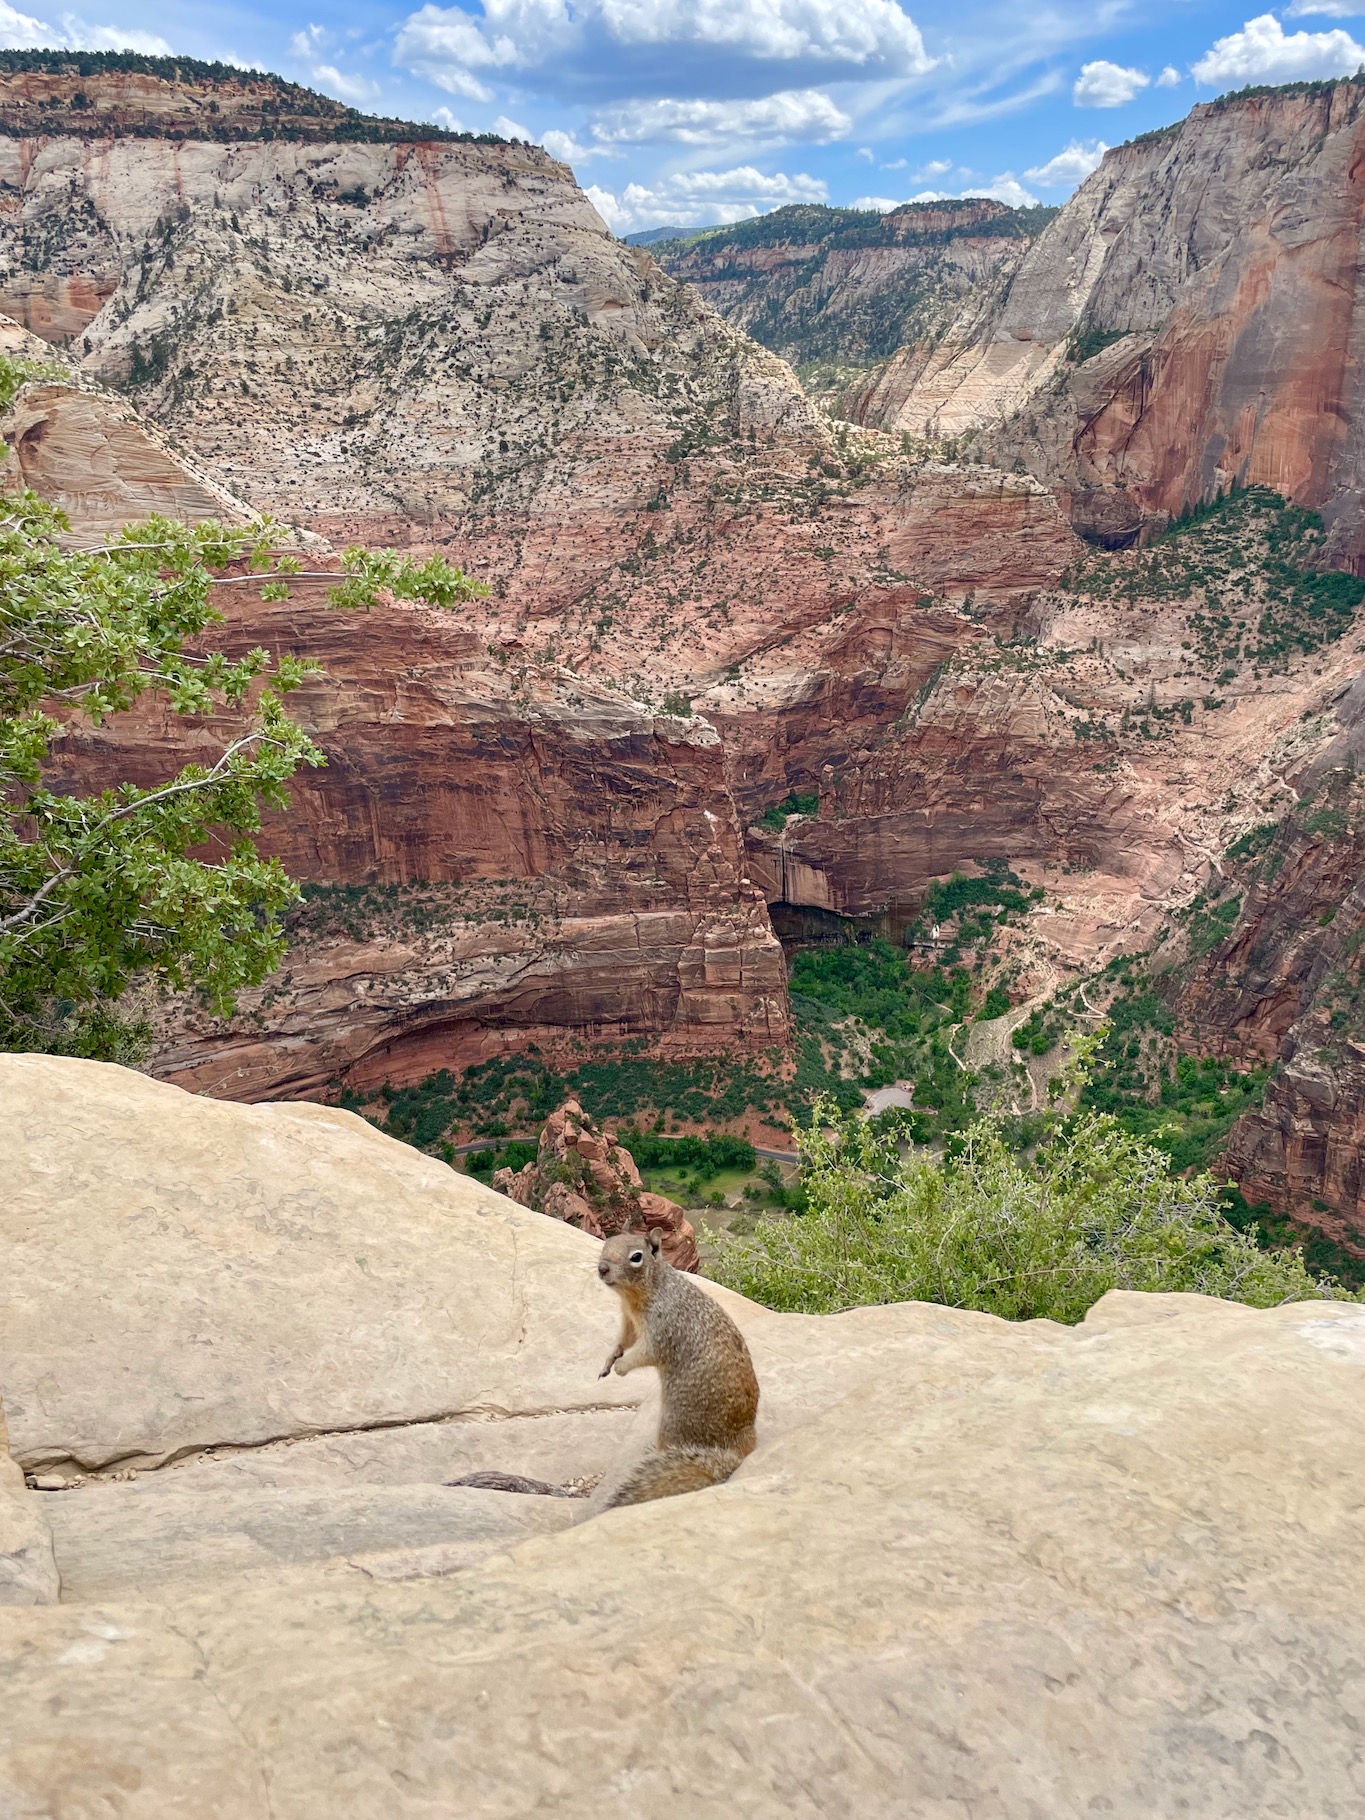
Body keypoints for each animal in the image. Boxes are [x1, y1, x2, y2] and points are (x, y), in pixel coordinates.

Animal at [596, 1223, 760, 1506]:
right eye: (608, 1242)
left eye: (636, 1256)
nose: (602, 1268)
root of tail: (737, 1451)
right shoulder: (629, 1323)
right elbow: (623, 1341)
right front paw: (609, 1360)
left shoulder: (662, 1329)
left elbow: (644, 1353)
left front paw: (622, 1366)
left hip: (673, 1421)